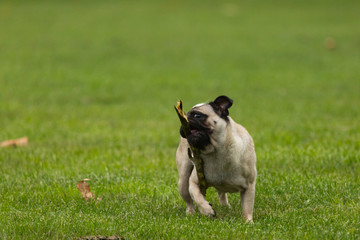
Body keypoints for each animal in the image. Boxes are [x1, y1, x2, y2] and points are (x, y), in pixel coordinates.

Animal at [176, 94, 256, 222]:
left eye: (197, 115)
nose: (185, 119)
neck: (217, 150)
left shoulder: (249, 186)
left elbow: (247, 207)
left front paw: (248, 222)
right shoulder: (194, 182)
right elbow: (197, 196)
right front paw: (207, 210)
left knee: (222, 194)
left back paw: (225, 206)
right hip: (183, 178)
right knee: (188, 198)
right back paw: (191, 212)